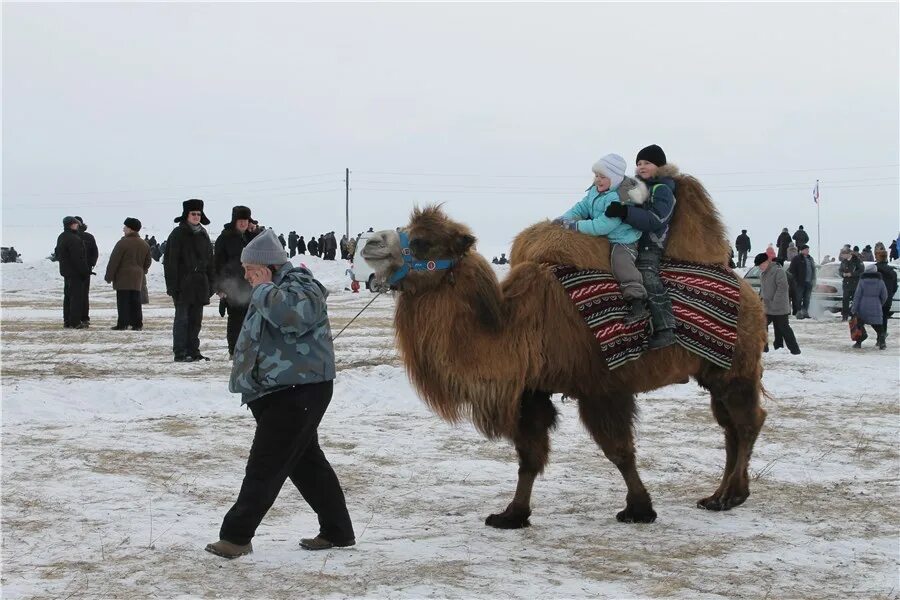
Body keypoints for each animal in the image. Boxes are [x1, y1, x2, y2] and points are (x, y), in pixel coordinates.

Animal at [358, 168, 768, 524]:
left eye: (423, 242)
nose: (369, 242)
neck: (514, 326)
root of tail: (749, 292)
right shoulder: (531, 391)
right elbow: (529, 456)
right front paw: (511, 515)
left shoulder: (601, 387)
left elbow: (620, 452)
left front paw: (639, 509)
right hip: (713, 372)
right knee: (730, 427)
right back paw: (725, 495)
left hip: (736, 368)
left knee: (747, 422)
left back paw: (727, 496)